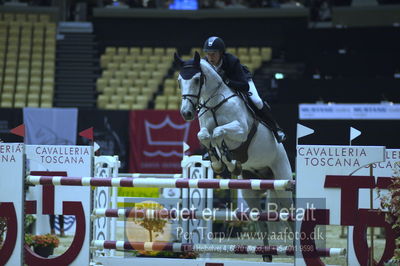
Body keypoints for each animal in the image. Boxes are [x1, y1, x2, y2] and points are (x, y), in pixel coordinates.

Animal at [174, 51, 294, 260]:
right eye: (180, 80)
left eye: (197, 79)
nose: (186, 113)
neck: (215, 103)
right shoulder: (204, 130)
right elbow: (205, 135)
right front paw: (219, 162)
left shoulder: (241, 130)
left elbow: (218, 132)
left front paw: (228, 161)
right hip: (249, 189)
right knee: (259, 218)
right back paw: (266, 254)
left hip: (283, 182)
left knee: (290, 215)